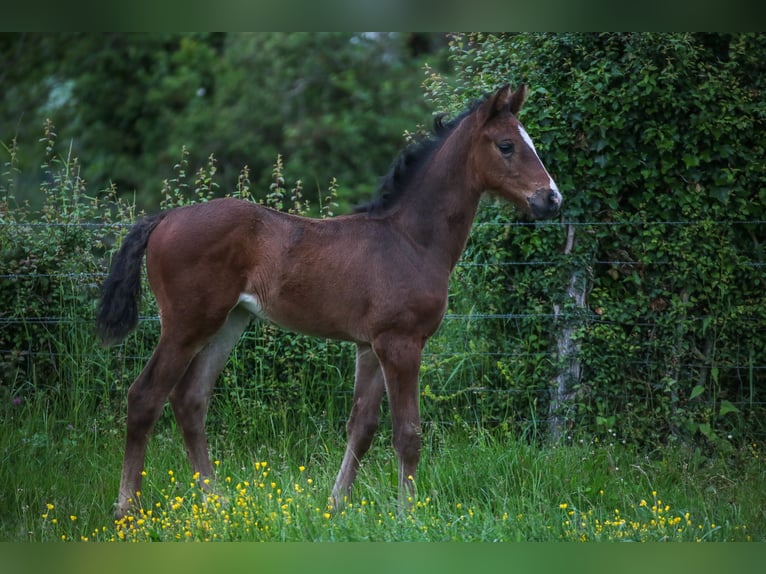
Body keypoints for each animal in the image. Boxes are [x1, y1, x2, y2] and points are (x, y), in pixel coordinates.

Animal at [96, 83, 564, 520]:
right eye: (506, 145)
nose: (551, 199)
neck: (410, 240)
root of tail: (164, 218)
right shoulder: (401, 343)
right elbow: (408, 432)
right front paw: (408, 514)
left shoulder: (370, 346)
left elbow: (363, 426)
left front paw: (336, 505)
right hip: (186, 324)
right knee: (145, 397)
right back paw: (126, 508)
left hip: (229, 322)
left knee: (190, 400)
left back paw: (218, 502)